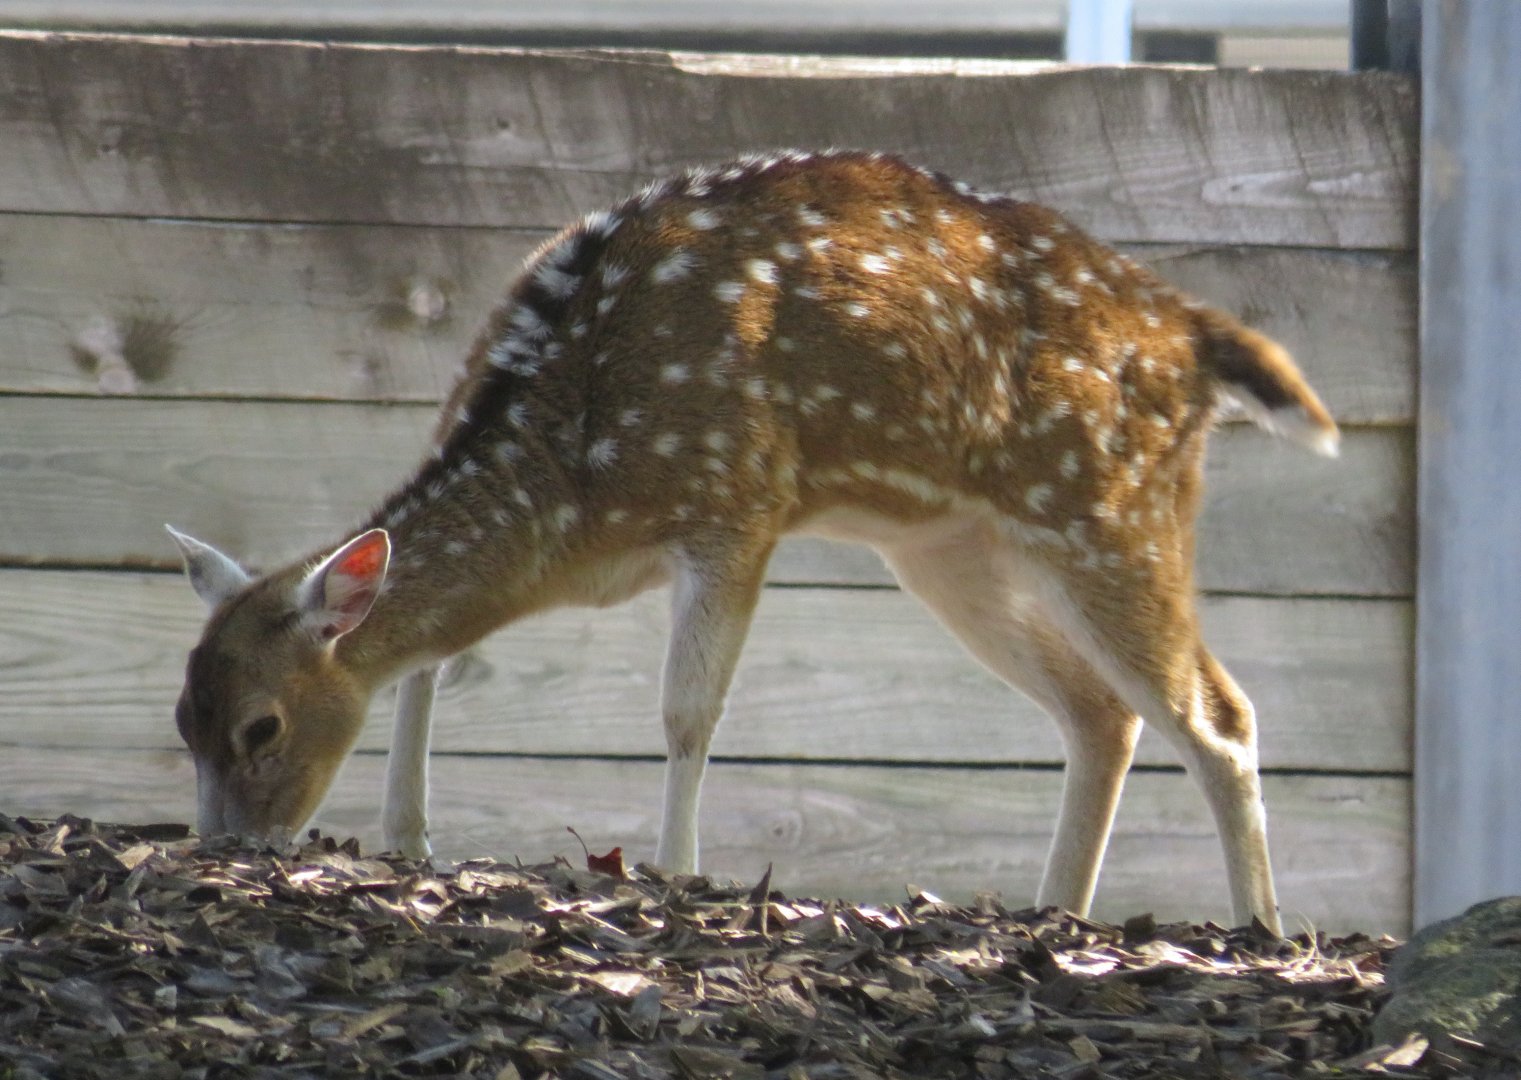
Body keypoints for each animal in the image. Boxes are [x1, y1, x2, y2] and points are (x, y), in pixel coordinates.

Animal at [168, 149, 1338, 936]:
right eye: (184, 721)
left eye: (264, 727)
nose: (227, 849)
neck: (578, 474)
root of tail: (1194, 337)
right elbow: (435, 658)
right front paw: (410, 838)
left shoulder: (737, 497)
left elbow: (687, 711)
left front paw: (675, 873)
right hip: (951, 547)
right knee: (1103, 713)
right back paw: (1053, 916)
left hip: (1107, 505)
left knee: (1219, 715)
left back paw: (1261, 933)